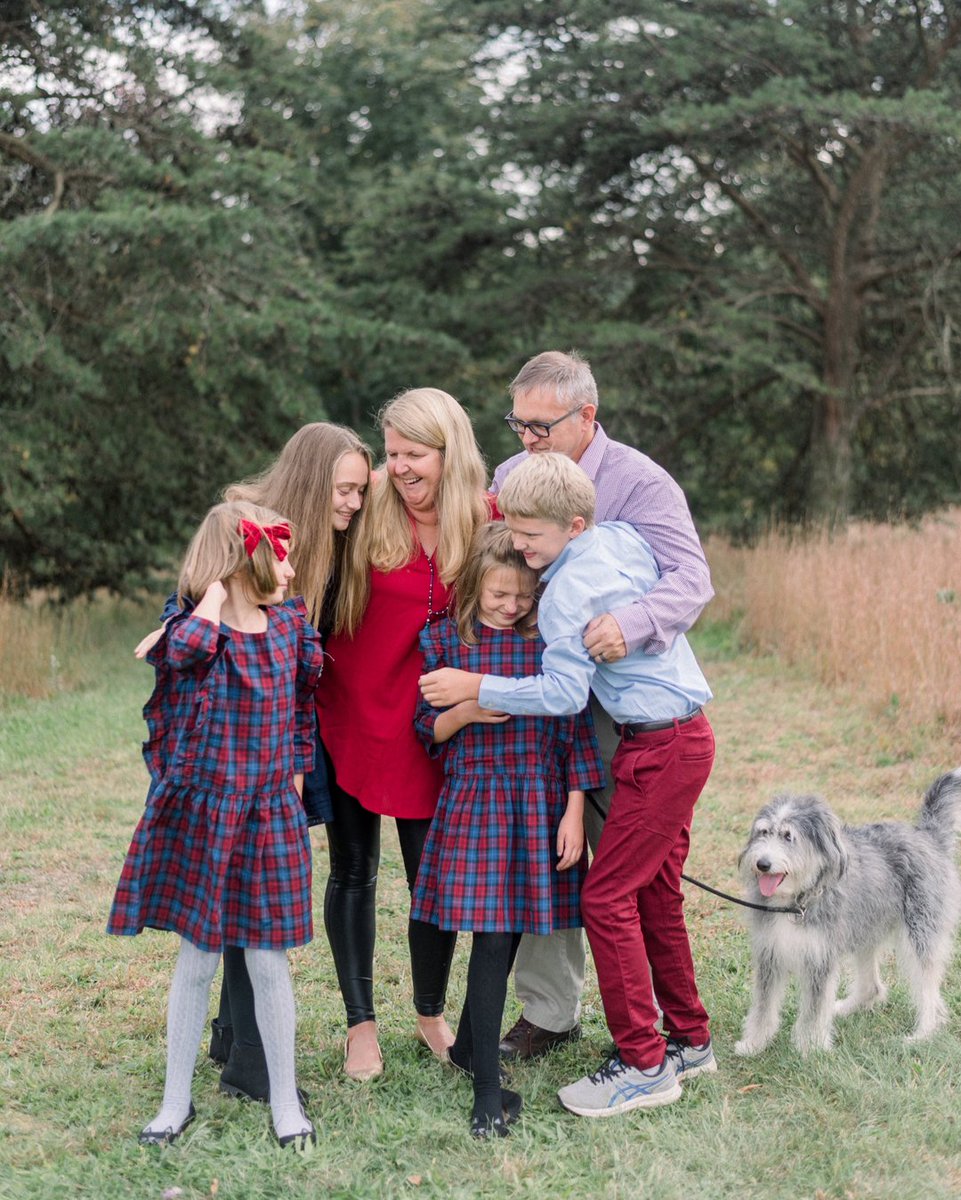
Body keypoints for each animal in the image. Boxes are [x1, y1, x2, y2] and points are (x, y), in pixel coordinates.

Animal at [734, 763, 959, 1056]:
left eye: (788, 836)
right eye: (763, 833)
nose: (762, 863)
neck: (796, 902)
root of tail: (928, 834)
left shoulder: (820, 958)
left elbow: (815, 1009)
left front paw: (811, 1049)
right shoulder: (769, 955)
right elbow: (763, 1006)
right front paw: (754, 1044)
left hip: (920, 934)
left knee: (928, 986)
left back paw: (923, 1033)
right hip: (865, 929)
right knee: (872, 987)